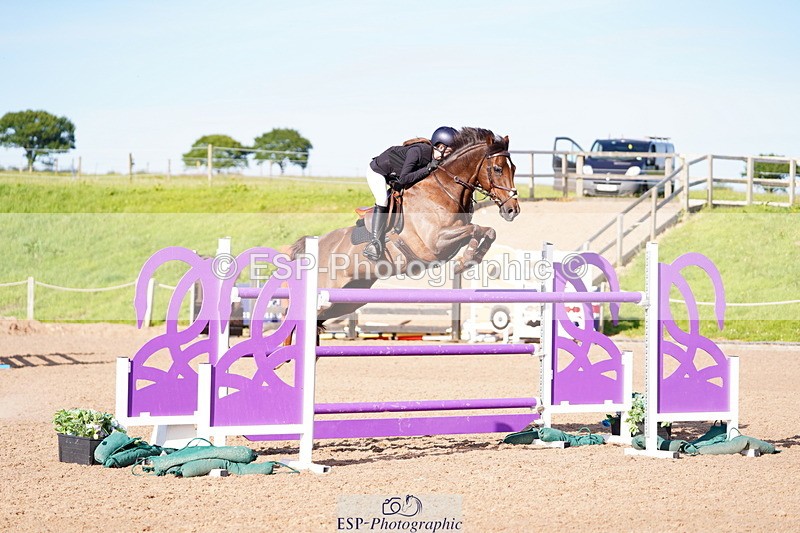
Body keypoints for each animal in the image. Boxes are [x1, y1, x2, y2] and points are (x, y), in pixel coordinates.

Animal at [289, 127, 520, 326]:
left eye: (514, 168)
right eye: (498, 169)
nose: (513, 210)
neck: (444, 190)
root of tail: (316, 243)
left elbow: (488, 231)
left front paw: (472, 257)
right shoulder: (435, 242)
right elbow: (475, 229)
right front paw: (465, 261)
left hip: (346, 300)